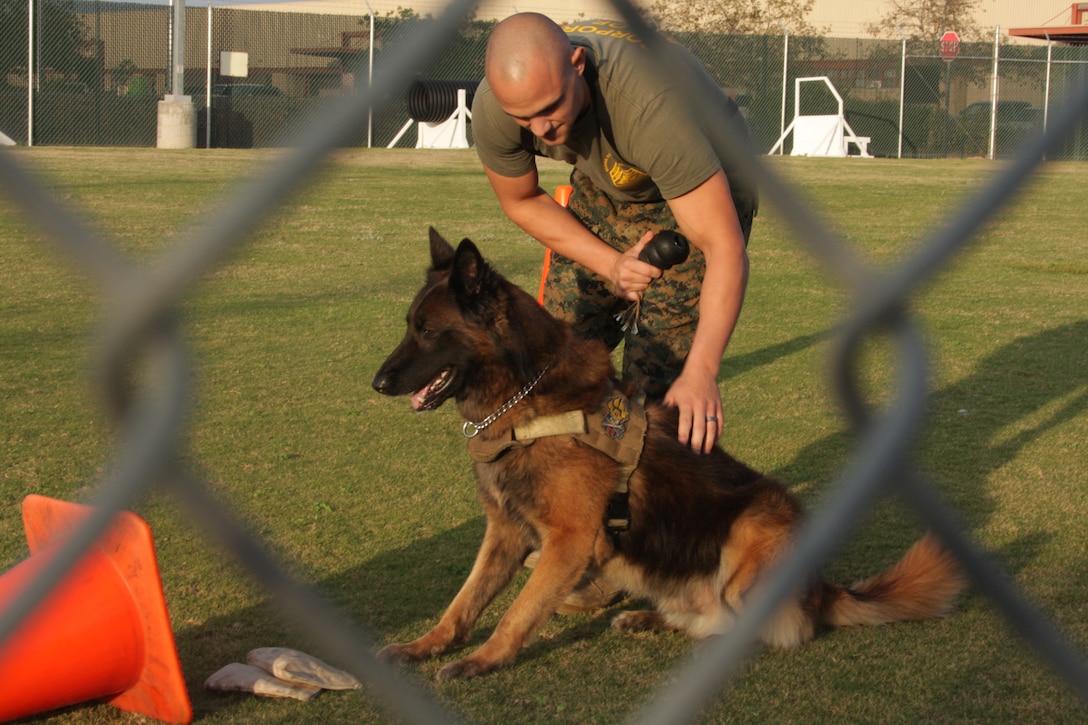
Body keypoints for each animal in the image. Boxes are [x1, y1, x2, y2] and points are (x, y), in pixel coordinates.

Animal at [372, 228, 961, 679]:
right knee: (707, 616)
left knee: (759, 627)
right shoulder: (507, 532)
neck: (524, 399)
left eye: (428, 331)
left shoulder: (567, 541)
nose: (376, 384)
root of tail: (822, 589)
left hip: (753, 532)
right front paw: (425, 646)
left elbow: (515, 613)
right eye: (409, 326)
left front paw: (483, 661)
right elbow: (464, 602)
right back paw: (647, 619)